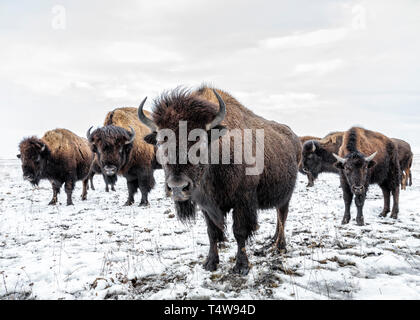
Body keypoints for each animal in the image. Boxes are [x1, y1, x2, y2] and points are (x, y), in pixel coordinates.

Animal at [138, 87, 302, 276]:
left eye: (199, 140)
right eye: (159, 142)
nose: (177, 188)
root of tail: (294, 138)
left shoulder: (242, 202)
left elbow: (239, 232)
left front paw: (241, 266)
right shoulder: (206, 206)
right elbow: (212, 232)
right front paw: (210, 263)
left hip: (286, 196)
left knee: (282, 216)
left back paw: (280, 247)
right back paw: (272, 240)